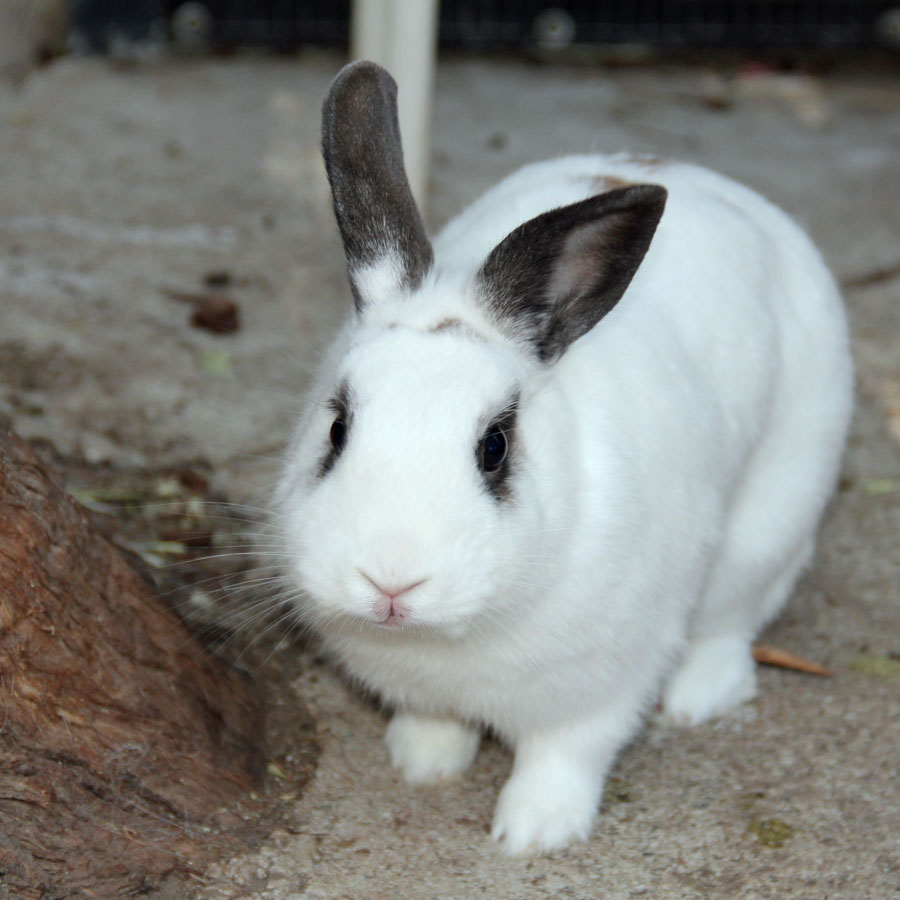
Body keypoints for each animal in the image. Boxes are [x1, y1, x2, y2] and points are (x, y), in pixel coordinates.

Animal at [274, 60, 853, 856]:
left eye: (495, 447)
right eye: (336, 428)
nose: (391, 580)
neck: (454, 637)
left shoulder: (602, 688)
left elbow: (564, 756)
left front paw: (533, 833)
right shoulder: (424, 691)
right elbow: (434, 723)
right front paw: (422, 762)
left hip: (770, 523)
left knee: (733, 626)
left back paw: (695, 699)